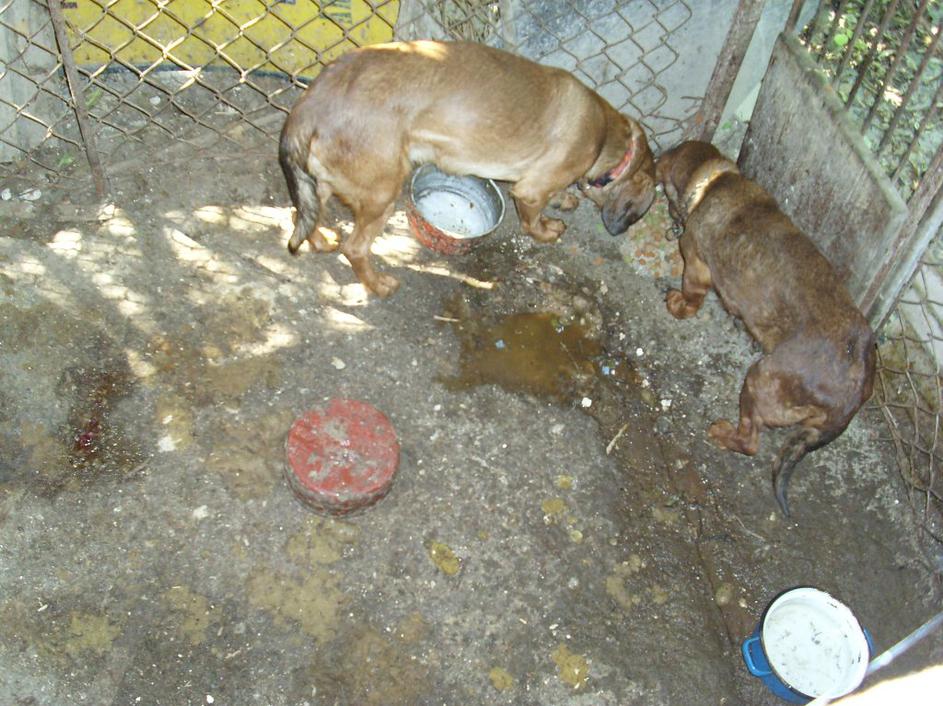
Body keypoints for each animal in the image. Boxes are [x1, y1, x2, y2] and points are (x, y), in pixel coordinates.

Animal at [279, 40, 656, 297]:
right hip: (382, 194)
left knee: (302, 213)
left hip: (324, 182)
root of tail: (308, 106)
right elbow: (534, 221)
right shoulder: (530, 192)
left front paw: (565, 199)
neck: (608, 136)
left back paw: (322, 240)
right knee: (355, 249)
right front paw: (548, 230)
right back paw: (378, 284)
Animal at [655, 141, 875, 515]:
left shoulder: (696, 264)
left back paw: (722, 433)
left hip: (760, 380)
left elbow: (691, 296)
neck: (716, 183)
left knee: (750, 442)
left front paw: (678, 305)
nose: (653, 160)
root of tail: (851, 398)